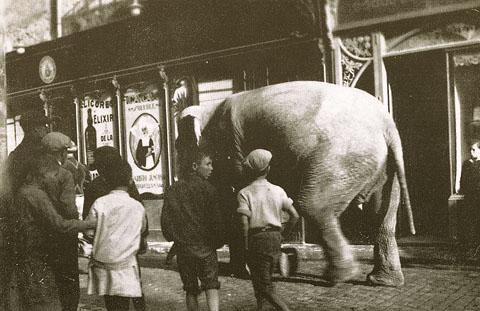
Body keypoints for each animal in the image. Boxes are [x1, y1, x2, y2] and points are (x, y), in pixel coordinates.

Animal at [174, 81, 414, 288]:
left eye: (178, 145)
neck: (209, 110)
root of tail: (387, 126)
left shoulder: (232, 149)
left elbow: (235, 203)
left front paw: (244, 271)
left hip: (340, 159)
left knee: (313, 205)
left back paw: (337, 277)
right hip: (384, 166)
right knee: (382, 217)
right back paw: (382, 281)